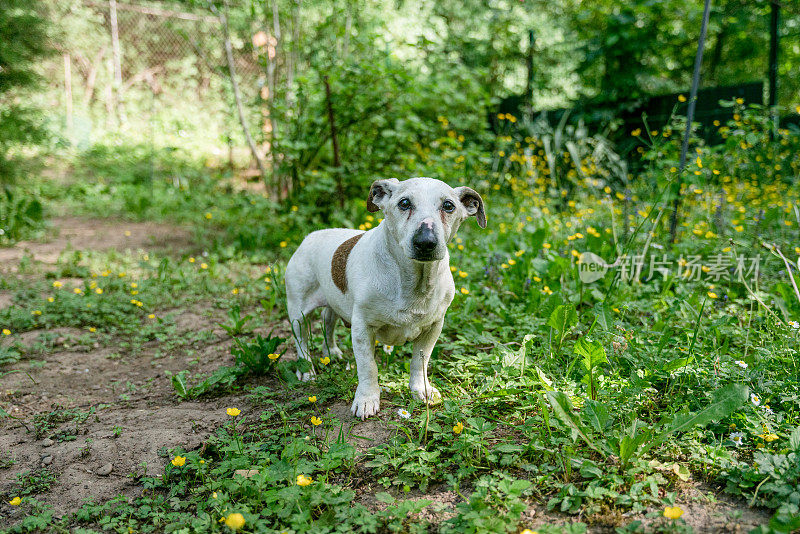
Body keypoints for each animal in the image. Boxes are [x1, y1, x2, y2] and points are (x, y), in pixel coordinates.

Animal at [288, 178, 488, 420]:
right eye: (404, 203)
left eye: (448, 206)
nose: (425, 241)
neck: (412, 281)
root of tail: (310, 236)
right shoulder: (362, 328)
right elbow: (368, 366)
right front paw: (367, 399)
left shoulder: (433, 327)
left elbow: (419, 361)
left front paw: (420, 389)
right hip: (298, 313)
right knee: (301, 341)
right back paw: (307, 370)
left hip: (334, 302)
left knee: (328, 320)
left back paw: (332, 352)